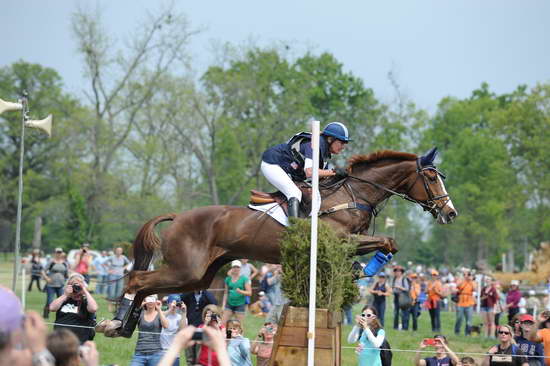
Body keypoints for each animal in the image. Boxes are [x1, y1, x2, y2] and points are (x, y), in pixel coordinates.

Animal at [111, 147, 458, 336]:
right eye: (430, 177)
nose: (450, 213)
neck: (353, 195)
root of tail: (179, 216)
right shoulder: (343, 239)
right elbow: (386, 241)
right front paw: (362, 270)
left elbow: (388, 245)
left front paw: (358, 271)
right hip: (186, 269)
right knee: (137, 278)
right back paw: (114, 324)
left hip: (198, 276)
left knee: (147, 286)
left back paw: (126, 327)